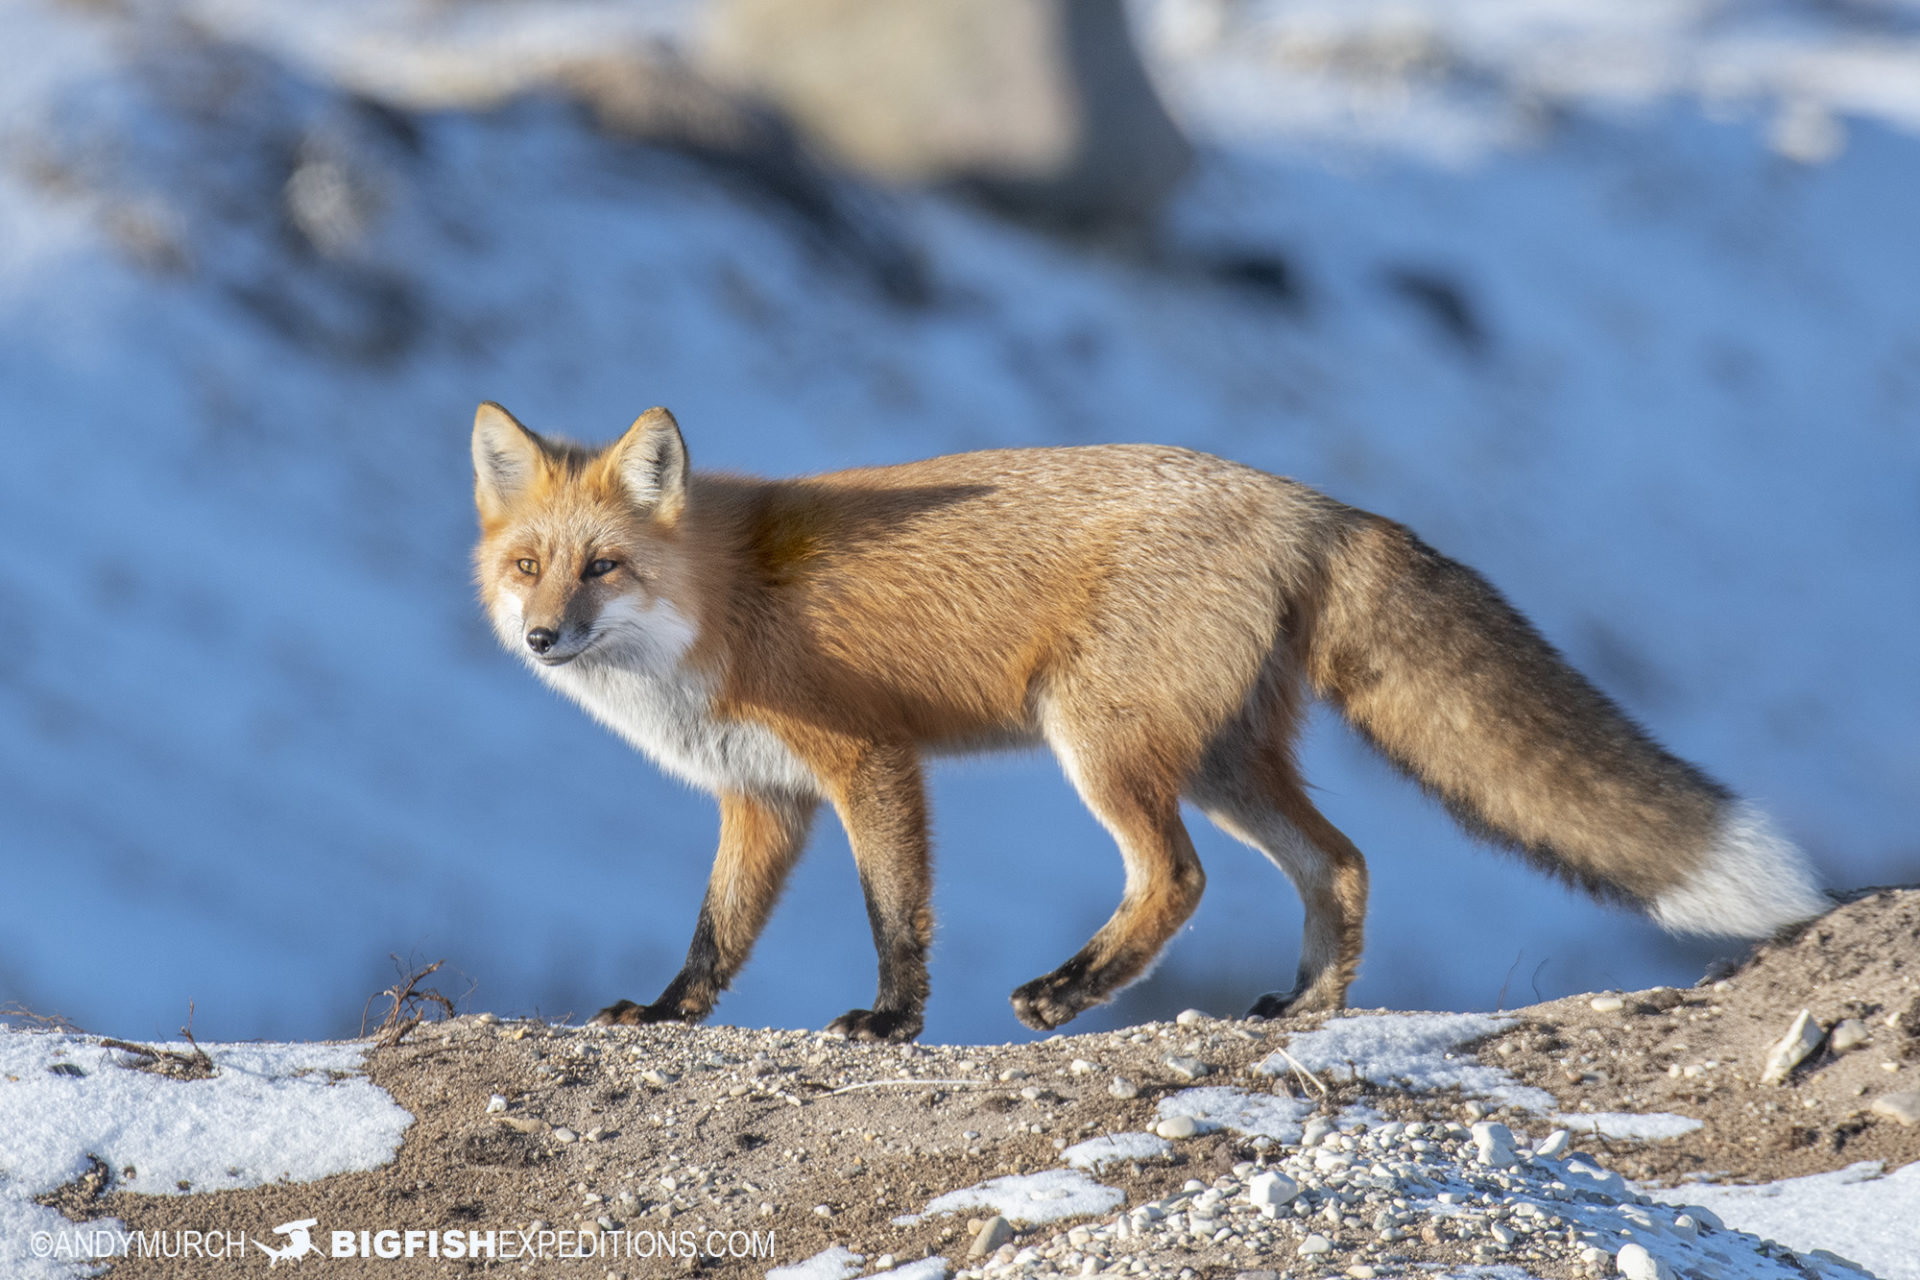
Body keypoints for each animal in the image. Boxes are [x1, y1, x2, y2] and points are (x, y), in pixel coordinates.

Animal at [468, 404, 1827, 1043]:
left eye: (602, 567)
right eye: (528, 565)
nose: (541, 637)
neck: (717, 605)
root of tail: (1309, 499)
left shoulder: (870, 764)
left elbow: (896, 917)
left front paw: (892, 1023)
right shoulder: (764, 797)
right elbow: (716, 937)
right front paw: (663, 1015)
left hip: (1105, 745)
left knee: (1177, 877)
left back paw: (1069, 991)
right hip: (1226, 761)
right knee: (1341, 862)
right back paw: (1304, 1007)